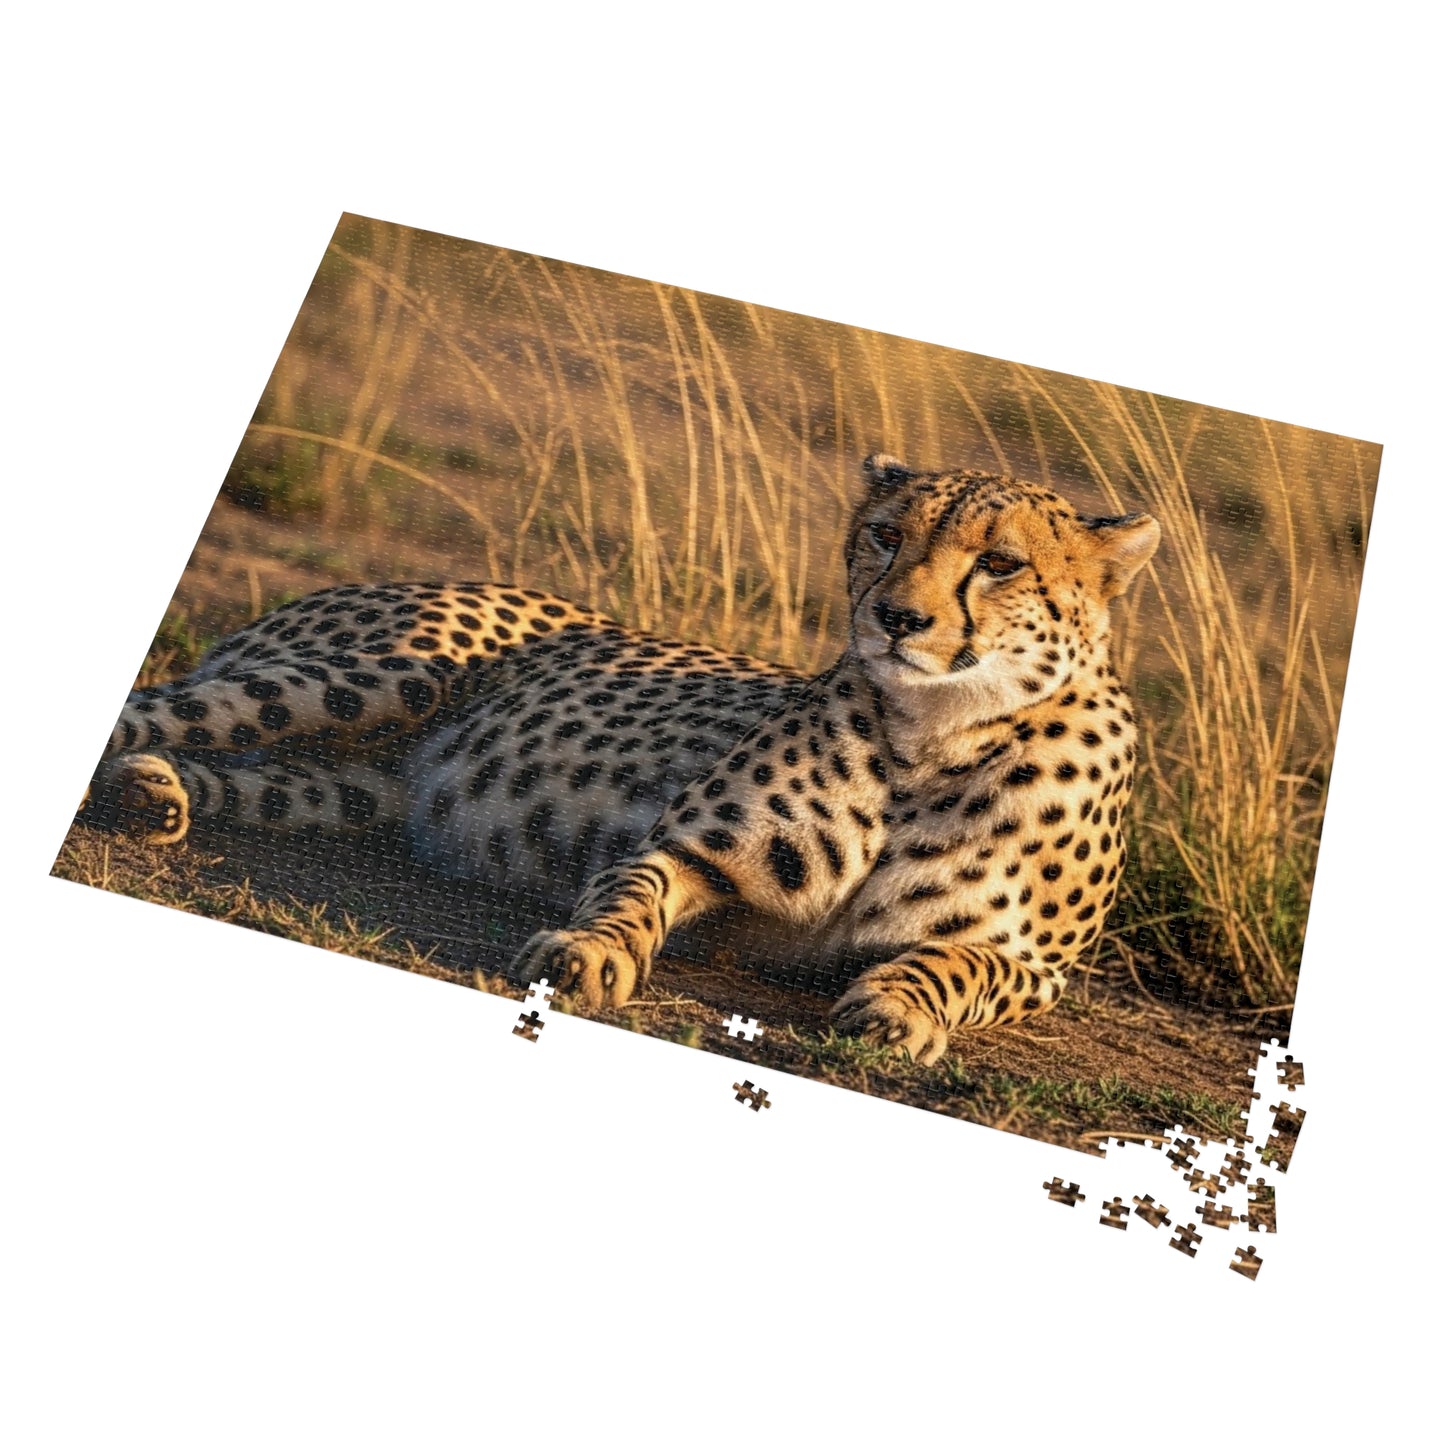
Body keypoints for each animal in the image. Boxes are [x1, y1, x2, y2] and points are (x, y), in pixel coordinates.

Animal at [84, 454, 1159, 1063]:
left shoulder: (1040, 967)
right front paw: (589, 953)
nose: (895, 618)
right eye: (885, 537)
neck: (933, 736)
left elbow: (957, 962)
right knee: (153, 709)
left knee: (245, 775)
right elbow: (631, 888)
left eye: (1000, 563)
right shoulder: (694, 848)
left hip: (352, 788)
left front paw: (898, 1008)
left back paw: (153, 797)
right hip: (365, 679)